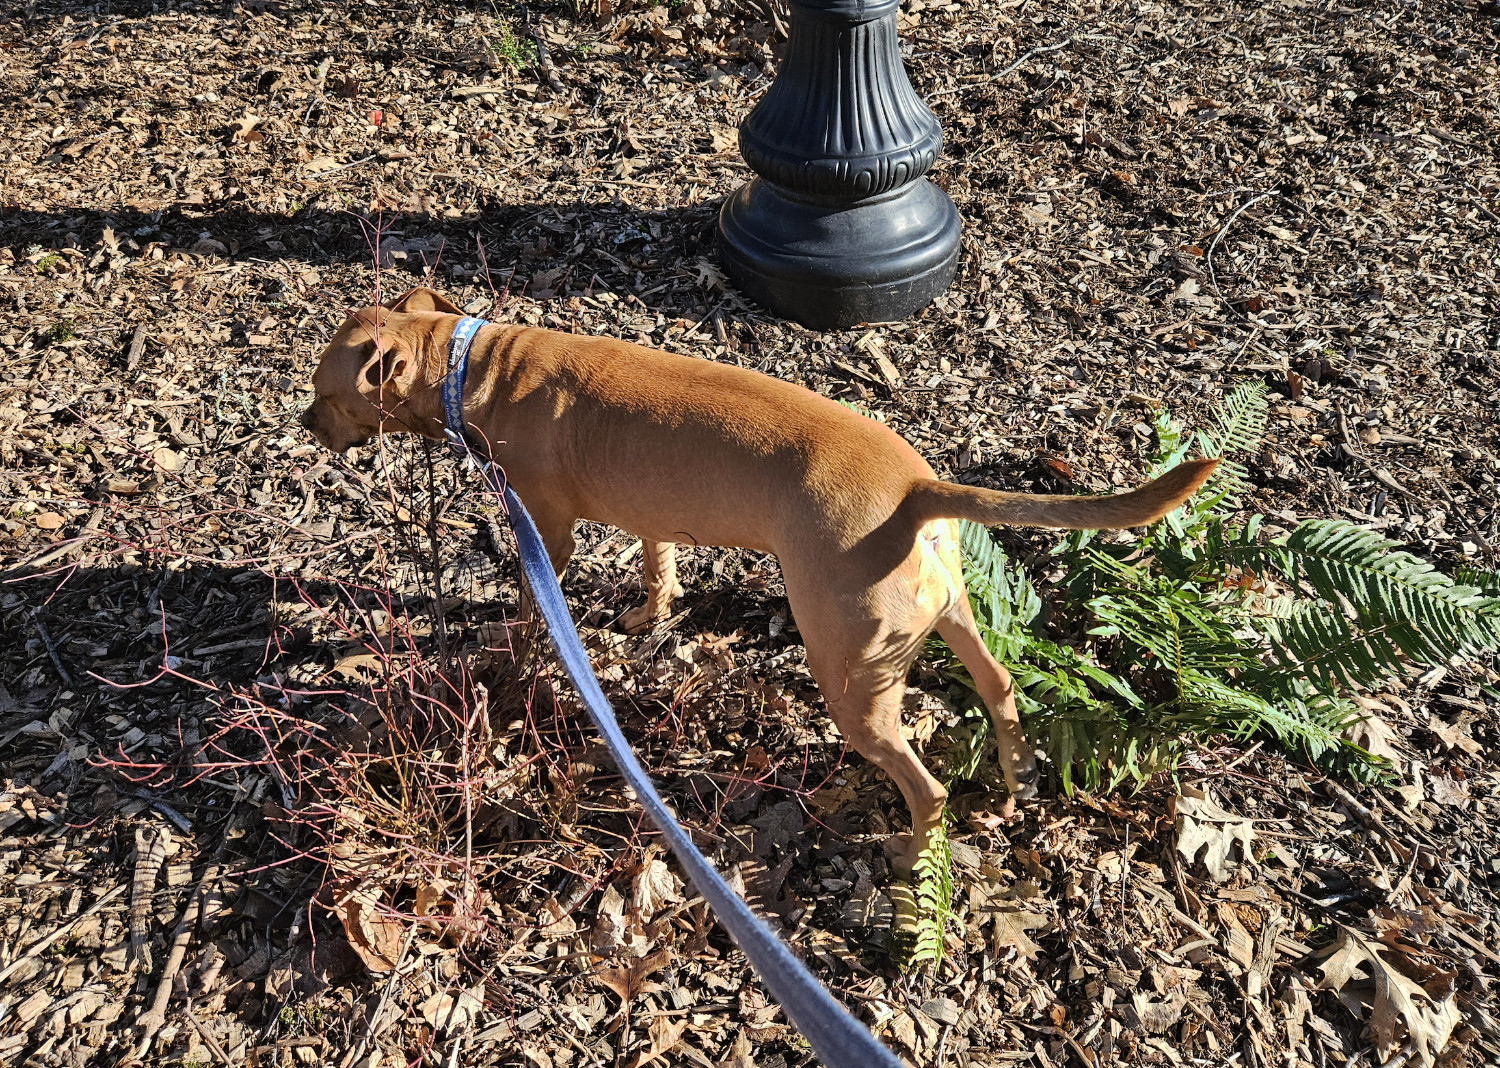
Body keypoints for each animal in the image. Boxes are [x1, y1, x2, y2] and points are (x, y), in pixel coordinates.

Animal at [301, 289, 1218, 870]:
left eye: (324, 389)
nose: (302, 424)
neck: (469, 362)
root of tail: (916, 490)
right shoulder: (652, 518)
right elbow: (659, 568)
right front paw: (651, 613)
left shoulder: (546, 535)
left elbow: (534, 608)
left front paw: (515, 655)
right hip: (950, 616)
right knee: (999, 690)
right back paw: (1014, 785)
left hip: (850, 675)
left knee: (923, 786)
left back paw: (911, 852)